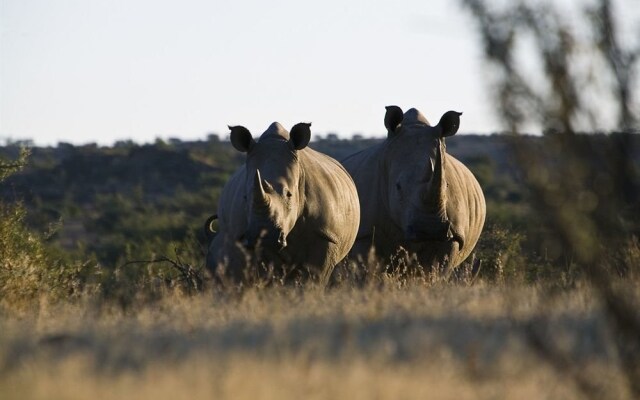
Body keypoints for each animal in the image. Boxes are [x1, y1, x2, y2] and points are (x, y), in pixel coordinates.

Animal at [205, 121, 360, 284]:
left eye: (289, 194)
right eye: (245, 197)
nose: (264, 237)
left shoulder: (326, 236)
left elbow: (315, 277)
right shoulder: (245, 239)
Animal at [344, 104, 484, 276]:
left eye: (446, 186)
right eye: (398, 187)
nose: (429, 230)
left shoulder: (454, 236)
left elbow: (438, 271)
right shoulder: (364, 233)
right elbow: (365, 271)